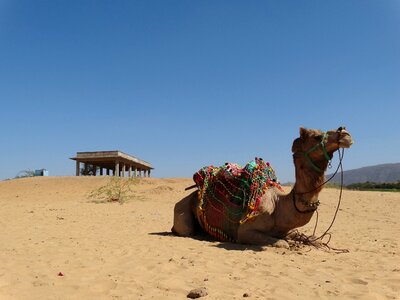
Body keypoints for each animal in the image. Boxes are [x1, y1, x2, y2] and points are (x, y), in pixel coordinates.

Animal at [172, 125, 354, 247]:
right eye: (316, 136)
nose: (345, 133)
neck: (279, 206)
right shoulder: (244, 232)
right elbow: (281, 243)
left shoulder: (287, 230)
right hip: (182, 212)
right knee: (186, 230)